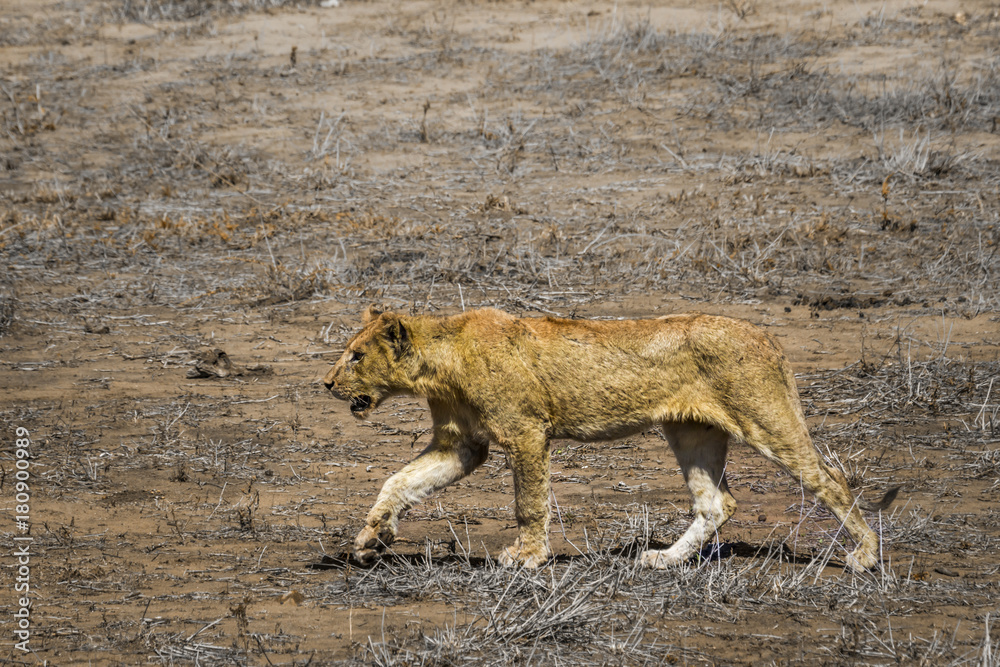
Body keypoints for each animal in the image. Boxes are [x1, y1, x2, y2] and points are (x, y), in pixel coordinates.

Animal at [322, 306, 895, 572]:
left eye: (356, 356)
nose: (326, 384)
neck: (440, 365)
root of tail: (768, 336)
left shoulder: (526, 433)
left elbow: (529, 503)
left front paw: (527, 558)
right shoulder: (462, 446)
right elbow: (398, 482)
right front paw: (371, 539)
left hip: (765, 419)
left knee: (831, 479)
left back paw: (865, 556)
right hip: (691, 432)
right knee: (717, 503)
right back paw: (664, 560)